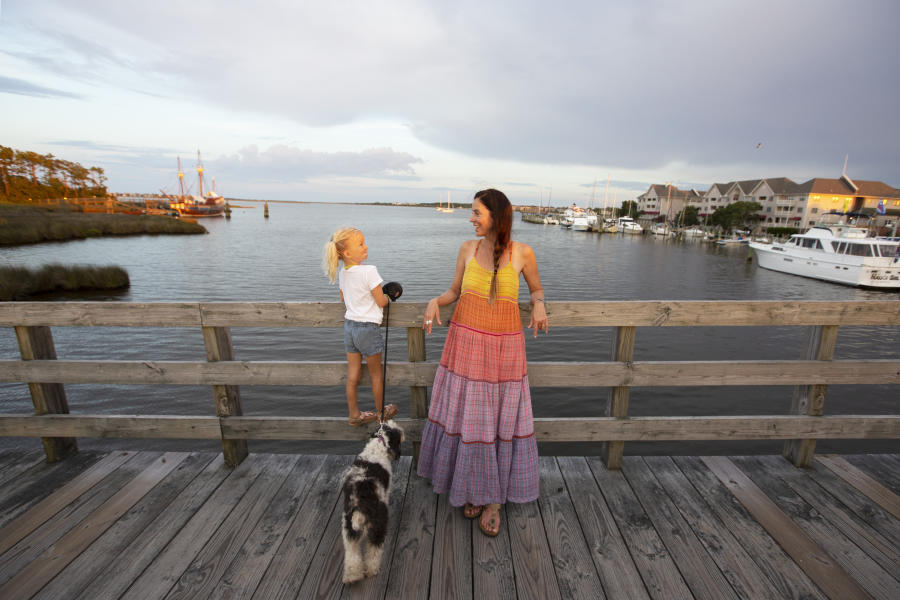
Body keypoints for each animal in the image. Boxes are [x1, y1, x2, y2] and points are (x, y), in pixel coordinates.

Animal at [342, 420, 404, 584]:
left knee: (352, 554)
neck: (378, 445)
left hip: (348, 529)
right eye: (398, 435)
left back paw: (352, 576)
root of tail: (359, 505)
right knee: (374, 551)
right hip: (378, 525)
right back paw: (371, 570)